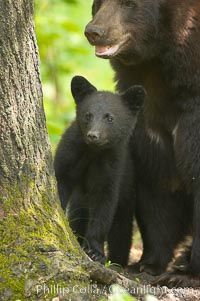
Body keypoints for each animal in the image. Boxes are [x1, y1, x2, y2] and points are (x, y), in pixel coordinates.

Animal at [54, 75, 145, 264]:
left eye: (109, 118)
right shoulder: (68, 154)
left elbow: (104, 206)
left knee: (121, 229)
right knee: (79, 216)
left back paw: (117, 261)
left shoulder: (112, 167)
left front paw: (95, 251)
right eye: (88, 115)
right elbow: (60, 181)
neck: (93, 152)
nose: (93, 135)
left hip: (128, 192)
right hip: (80, 201)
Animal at [84, 0, 200, 286]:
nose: (94, 31)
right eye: (99, 3)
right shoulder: (149, 123)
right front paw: (148, 264)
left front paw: (185, 275)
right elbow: (157, 185)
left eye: (129, 4)